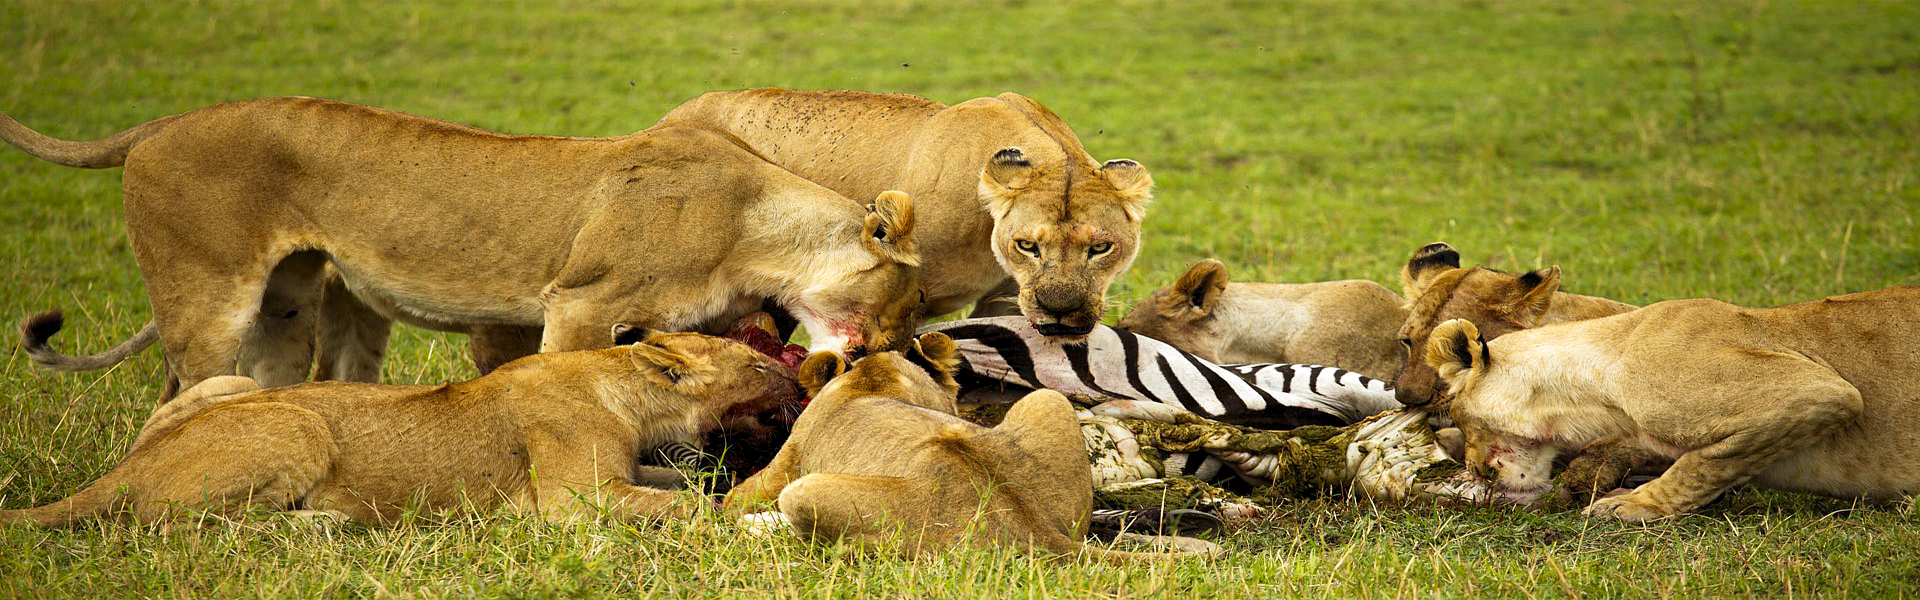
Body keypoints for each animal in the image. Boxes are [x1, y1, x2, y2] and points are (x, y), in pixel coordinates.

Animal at [0, 98, 929, 398]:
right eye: (908, 300)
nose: (889, 350)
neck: (758, 230)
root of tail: (162, 123)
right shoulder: (581, 302)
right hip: (208, 299)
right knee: (181, 395)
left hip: (289, 305)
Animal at [0, 325, 794, 526]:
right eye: (759, 363)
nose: (795, 379)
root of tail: (125, 470)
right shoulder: (571, 503)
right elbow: (676, 504)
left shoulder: (624, 470)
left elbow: (673, 482)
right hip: (296, 424)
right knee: (182, 524)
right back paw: (326, 522)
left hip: (233, 386)